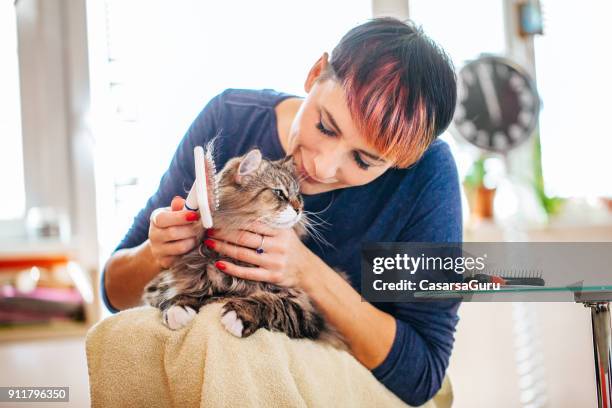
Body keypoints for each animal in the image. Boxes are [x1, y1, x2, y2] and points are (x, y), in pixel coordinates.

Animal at [141, 148, 346, 350]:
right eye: (279, 193)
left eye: (298, 196)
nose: (299, 209)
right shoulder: (170, 283)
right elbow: (190, 288)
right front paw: (179, 306)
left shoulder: (304, 307)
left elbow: (272, 303)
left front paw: (239, 314)